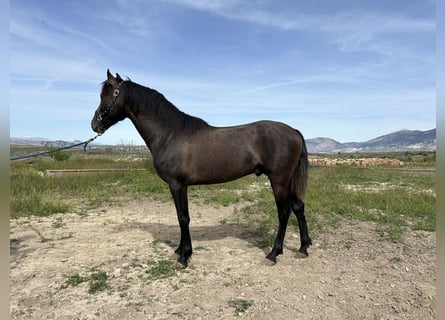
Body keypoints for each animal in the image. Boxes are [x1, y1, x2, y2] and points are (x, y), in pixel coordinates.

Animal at [91, 70, 310, 270]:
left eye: (107, 95)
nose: (94, 124)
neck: (170, 134)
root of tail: (294, 132)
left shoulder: (177, 185)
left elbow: (183, 218)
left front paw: (184, 257)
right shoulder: (180, 186)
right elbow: (181, 217)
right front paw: (179, 251)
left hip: (279, 180)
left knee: (284, 213)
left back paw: (273, 254)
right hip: (288, 180)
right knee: (298, 207)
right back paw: (303, 248)